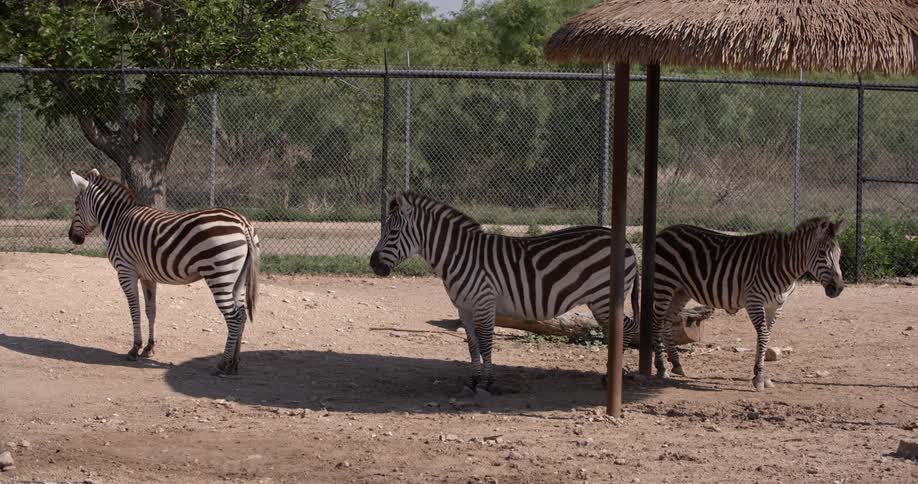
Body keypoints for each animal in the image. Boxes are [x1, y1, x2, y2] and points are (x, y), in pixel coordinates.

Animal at [67, 169, 259, 375]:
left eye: (76, 205)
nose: (72, 237)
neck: (118, 220)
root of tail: (243, 223)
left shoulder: (126, 271)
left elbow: (134, 310)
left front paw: (135, 348)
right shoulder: (147, 277)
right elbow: (150, 310)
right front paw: (149, 347)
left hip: (220, 276)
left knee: (234, 318)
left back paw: (223, 363)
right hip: (238, 279)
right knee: (242, 315)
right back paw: (234, 364)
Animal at [369, 192, 640, 392]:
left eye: (393, 232)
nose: (373, 265)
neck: (459, 256)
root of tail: (626, 242)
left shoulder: (484, 302)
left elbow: (486, 343)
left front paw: (488, 382)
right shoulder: (464, 308)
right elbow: (472, 345)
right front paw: (474, 380)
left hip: (604, 297)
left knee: (626, 328)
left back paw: (613, 376)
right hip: (599, 300)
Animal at [651, 217, 845, 391]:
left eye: (839, 254)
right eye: (822, 254)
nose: (839, 288)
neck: (784, 266)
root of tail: (665, 231)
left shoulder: (776, 306)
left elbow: (765, 338)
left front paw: (760, 375)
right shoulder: (754, 301)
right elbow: (764, 336)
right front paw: (758, 377)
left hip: (681, 290)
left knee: (667, 322)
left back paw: (676, 364)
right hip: (664, 283)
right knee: (657, 322)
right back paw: (661, 368)